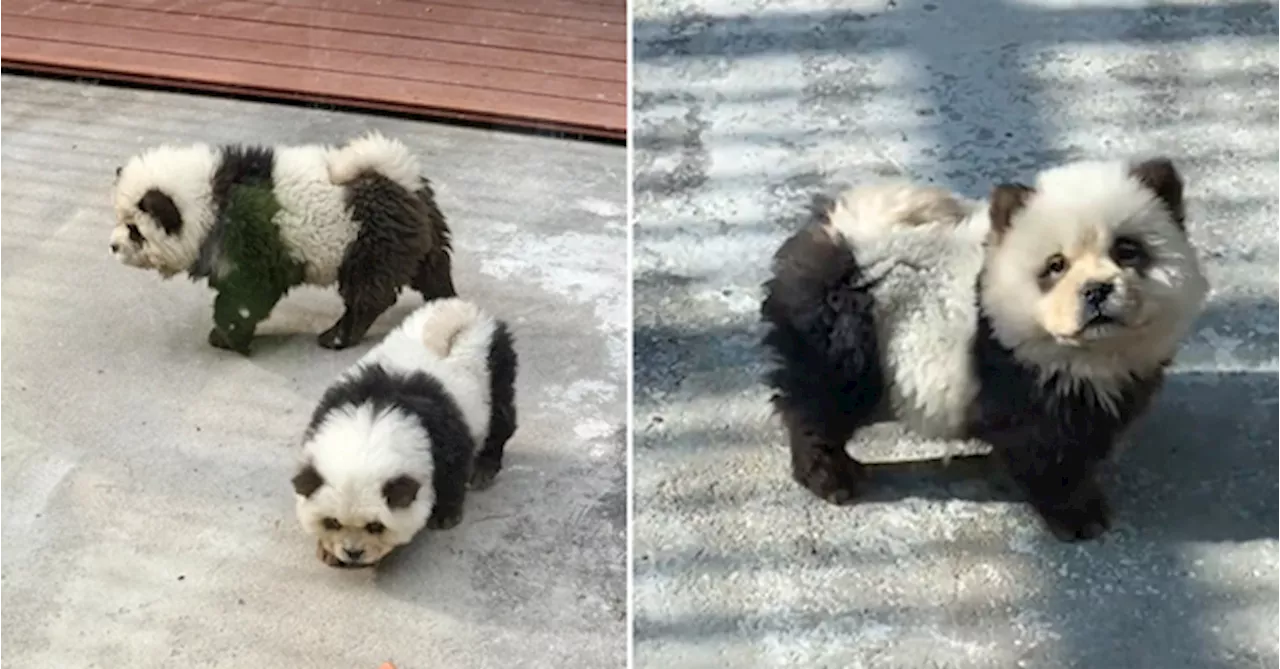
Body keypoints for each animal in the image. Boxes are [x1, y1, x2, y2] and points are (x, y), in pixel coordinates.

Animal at [110, 128, 458, 353]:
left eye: (134, 230)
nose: (112, 246)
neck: (207, 197)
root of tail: (399, 174)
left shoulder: (250, 243)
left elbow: (247, 295)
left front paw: (227, 337)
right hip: (421, 230)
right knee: (433, 266)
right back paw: (444, 300)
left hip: (368, 239)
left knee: (367, 292)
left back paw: (337, 336)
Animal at [293, 299, 517, 570]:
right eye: (332, 522)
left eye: (376, 526)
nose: (353, 553)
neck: (372, 426)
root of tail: (466, 311)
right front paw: (327, 551)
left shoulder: (444, 435)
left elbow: (452, 471)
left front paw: (445, 516)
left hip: (496, 368)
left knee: (500, 418)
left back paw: (484, 469)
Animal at [757, 158, 1208, 544]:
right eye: (1056, 265)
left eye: (1127, 250)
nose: (1096, 290)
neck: (1089, 352)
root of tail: (837, 232)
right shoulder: (1020, 377)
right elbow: (1044, 452)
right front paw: (1078, 514)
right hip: (842, 333)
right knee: (820, 402)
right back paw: (831, 477)